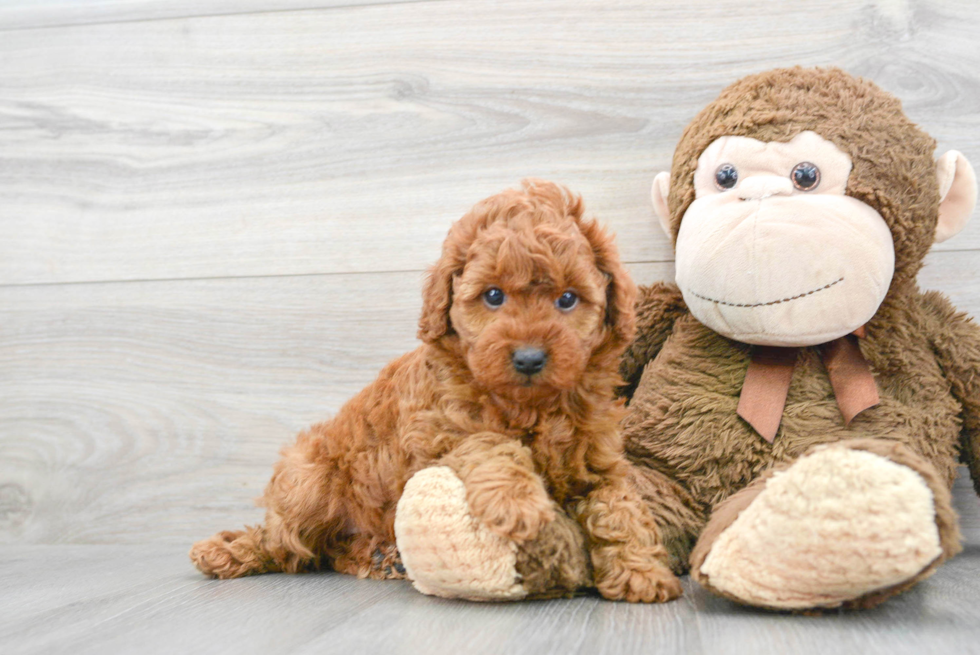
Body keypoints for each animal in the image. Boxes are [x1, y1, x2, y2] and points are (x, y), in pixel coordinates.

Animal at [189, 181, 680, 604]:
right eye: (494, 296)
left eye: (567, 299)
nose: (528, 358)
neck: (532, 406)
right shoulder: (441, 431)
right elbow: (492, 443)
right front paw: (518, 503)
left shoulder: (598, 461)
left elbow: (619, 509)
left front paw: (640, 570)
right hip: (309, 480)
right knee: (285, 544)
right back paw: (229, 551)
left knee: (328, 553)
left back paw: (379, 556)